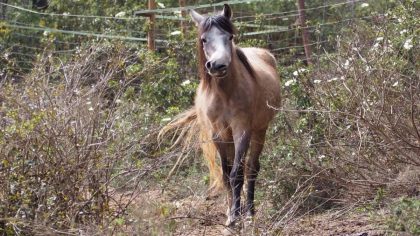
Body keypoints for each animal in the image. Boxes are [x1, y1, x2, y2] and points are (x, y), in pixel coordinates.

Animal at [159, 3, 280, 229]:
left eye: (230, 36)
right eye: (204, 39)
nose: (218, 65)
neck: (225, 93)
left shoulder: (242, 130)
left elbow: (237, 174)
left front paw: (237, 217)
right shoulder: (218, 133)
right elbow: (226, 174)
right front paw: (230, 215)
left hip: (260, 130)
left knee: (251, 168)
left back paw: (249, 212)